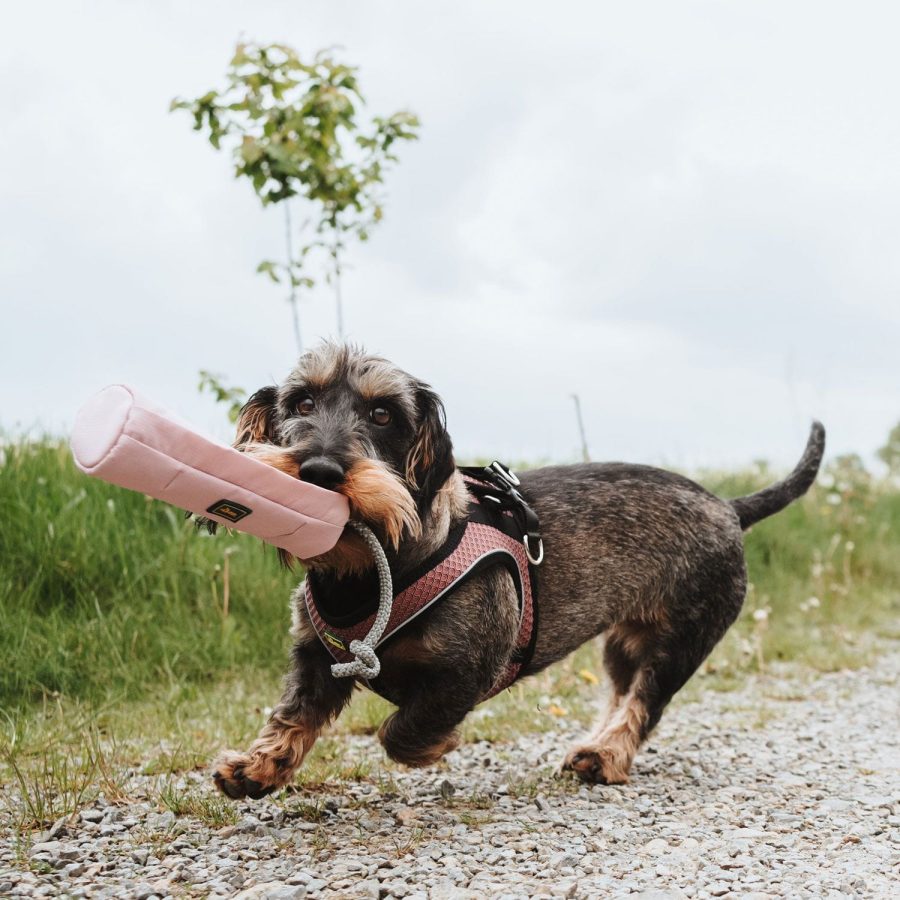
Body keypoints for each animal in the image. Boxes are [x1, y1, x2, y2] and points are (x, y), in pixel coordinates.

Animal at [211, 342, 824, 800]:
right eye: (300, 402)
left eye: (383, 414)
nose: (319, 470)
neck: (372, 571)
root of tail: (728, 507)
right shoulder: (316, 657)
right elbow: (293, 716)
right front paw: (257, 768)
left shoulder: (469, 666)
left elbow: (405, 728)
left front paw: (434, 746)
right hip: (624, 645)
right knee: (621, 694)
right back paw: (594, 747)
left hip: (682, 642)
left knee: (644, 703)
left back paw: (606, 756)